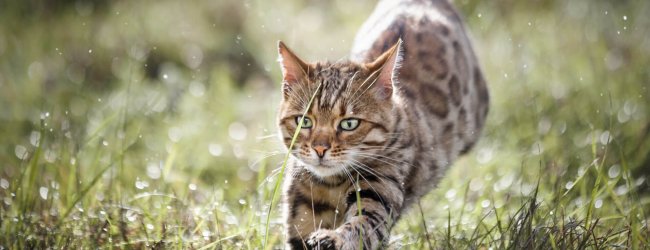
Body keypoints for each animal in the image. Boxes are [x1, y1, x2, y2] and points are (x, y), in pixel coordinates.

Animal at [274, 0, 486, 248]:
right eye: (304, 121)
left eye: (349, 124)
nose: (319, 149)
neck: (332, 184)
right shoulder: (300, 213)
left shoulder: (379, 191)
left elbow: (360, 226)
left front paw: (332, 238)